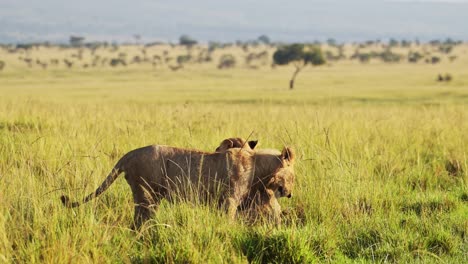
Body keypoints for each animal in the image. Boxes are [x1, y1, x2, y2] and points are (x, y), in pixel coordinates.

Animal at [61, 142, 296, 227]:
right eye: (293, 177)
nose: (289, 194)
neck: (260, 167)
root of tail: (128, 155)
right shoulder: (229, 199)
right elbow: (229, 220)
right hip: (147, 195)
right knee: (140, 220)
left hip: (148, 197)